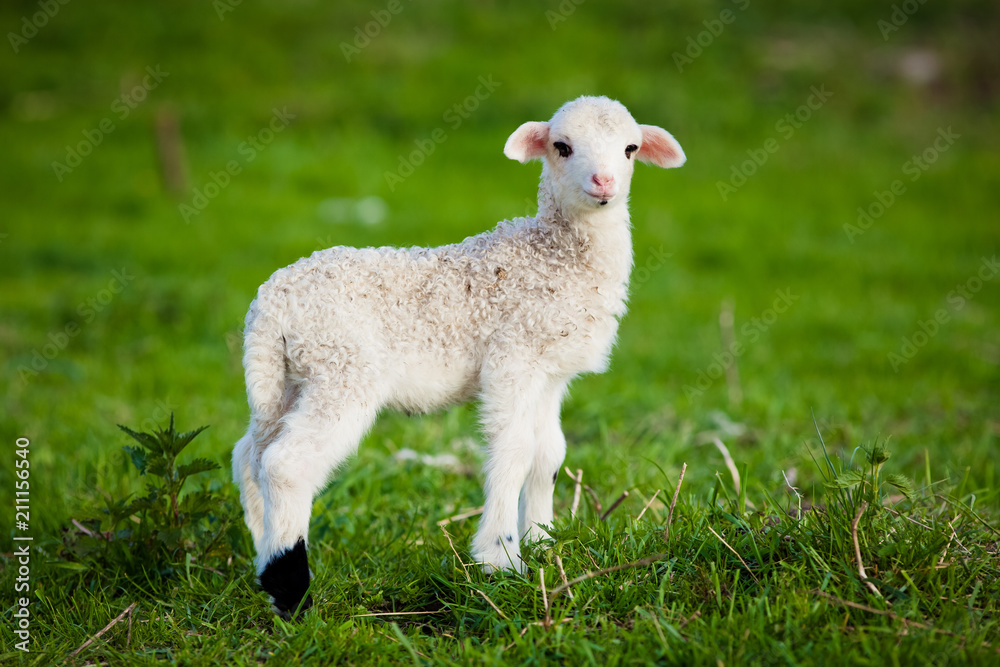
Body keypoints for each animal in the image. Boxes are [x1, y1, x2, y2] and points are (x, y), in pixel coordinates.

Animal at [231, 95, 686, 618]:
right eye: (562, 146)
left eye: (631, 148)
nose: (604, 182)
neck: (553, 258)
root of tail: (271, 303)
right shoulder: (512, 356)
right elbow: (514, 450)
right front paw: (500, 559)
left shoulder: (549, 370)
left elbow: (549, 452)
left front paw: (544, 545)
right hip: (342, 368)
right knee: (286, 464)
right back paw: (292, 589)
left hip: (284, 378)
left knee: (250, 455)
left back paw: (264, 563)